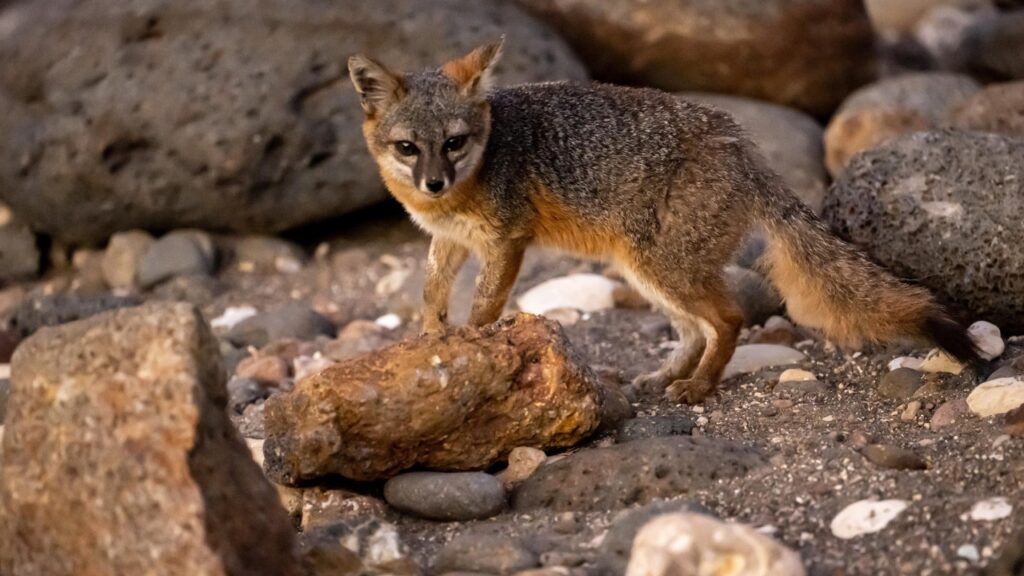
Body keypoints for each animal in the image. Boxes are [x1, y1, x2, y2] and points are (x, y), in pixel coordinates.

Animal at [347, 39, 980, 403]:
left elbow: (481, 305)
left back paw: (699, 387)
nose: (433, 182)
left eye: (454, 143)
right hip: (645, 270)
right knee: (695, 330)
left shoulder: (507, 241)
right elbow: (430, 295)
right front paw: (430, 341)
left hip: (661, 266)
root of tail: (741, 145)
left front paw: (474, 345)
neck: (455, 197)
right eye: (408, 148)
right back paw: (667, 377)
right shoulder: (449, 241)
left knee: (726, 320)